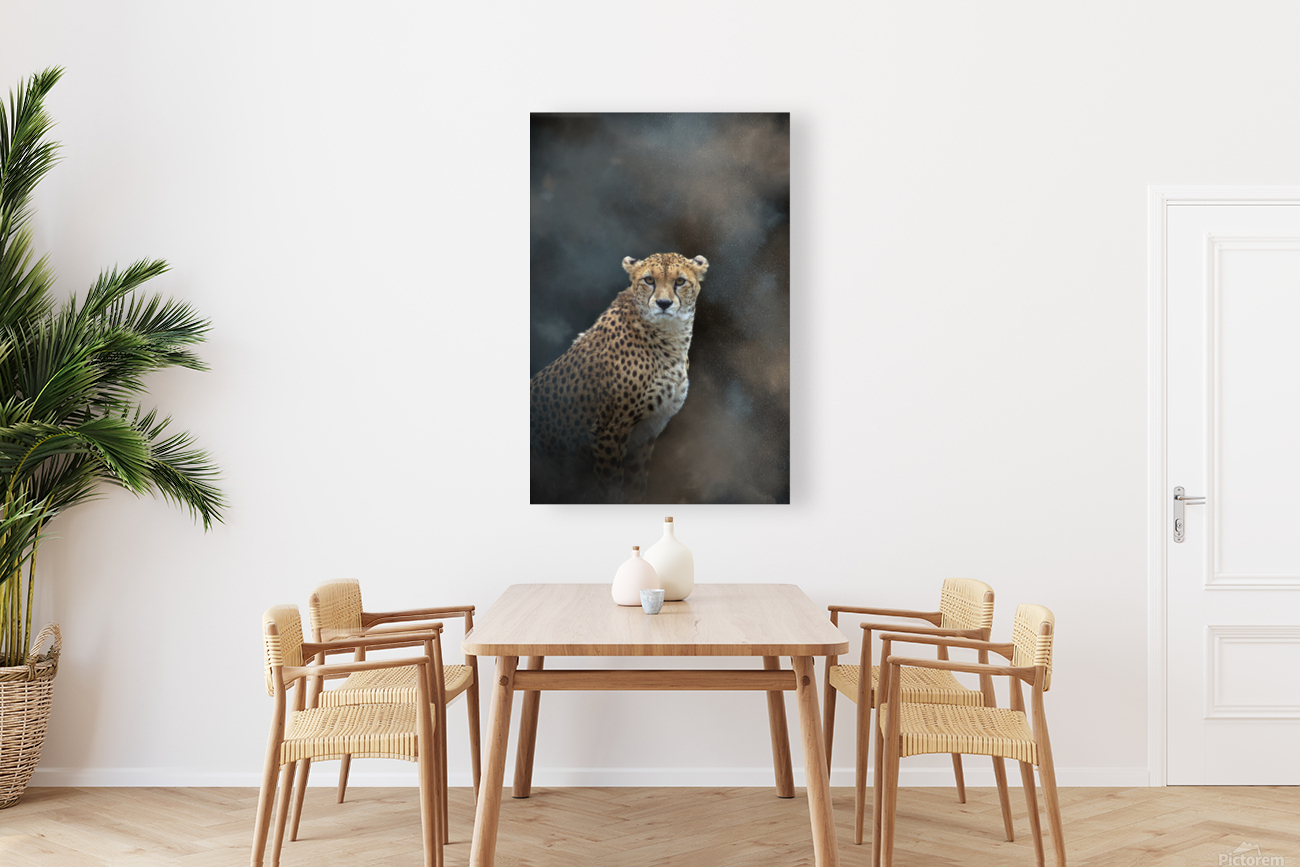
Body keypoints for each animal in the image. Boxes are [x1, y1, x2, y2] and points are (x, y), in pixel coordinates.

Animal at [530, 252, 710, 503]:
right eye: (649, 280)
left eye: (680, 281)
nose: (664, 304)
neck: (668, 336)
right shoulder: (610, 430)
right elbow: (611, 488)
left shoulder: (644, 435)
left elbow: (636, 487)